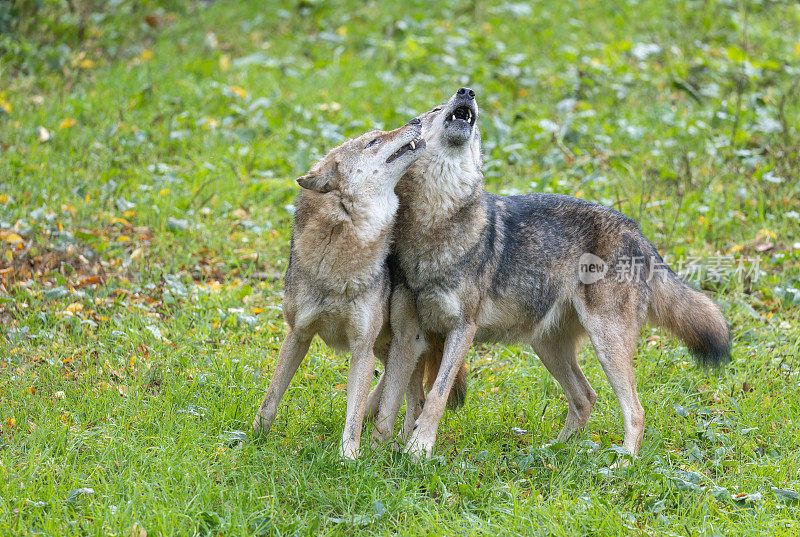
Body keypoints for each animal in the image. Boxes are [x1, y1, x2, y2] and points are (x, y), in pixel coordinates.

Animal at [250, 117, 428, 456]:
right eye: (373, 141)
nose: (416, 120)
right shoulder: (298, 334)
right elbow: (271, 397)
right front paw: (254, 439)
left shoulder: (361, 348)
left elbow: (352, 415)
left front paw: (349, 456)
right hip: (385, 347)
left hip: (401, 344)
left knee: (416, 397)